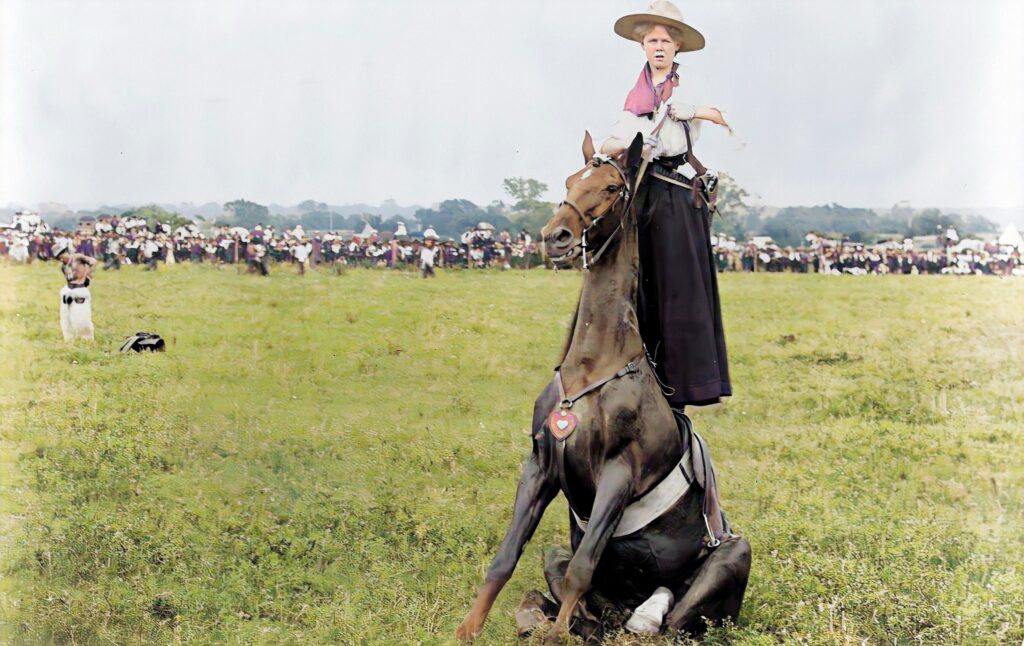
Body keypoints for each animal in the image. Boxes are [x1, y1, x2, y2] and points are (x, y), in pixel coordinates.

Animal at [456, 134, 753, 642]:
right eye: (570, 180)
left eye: (613, 186)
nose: (555, 235)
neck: (594, 366)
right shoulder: (539, 466)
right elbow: (506, 557)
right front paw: (469, 629)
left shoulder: (618, 473)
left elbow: (584, 565)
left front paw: (555, 635)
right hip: (563, 560)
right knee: (585, 608)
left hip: (731, 555)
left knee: (669, 623)